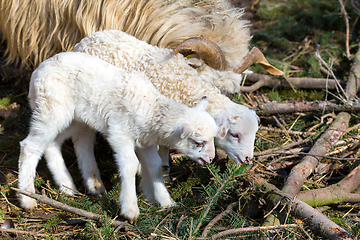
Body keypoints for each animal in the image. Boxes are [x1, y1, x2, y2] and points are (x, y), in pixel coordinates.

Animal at [18, 52, 218, 221]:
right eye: (198, 142)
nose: (211, 159)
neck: (151, 108)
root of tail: (38, 70)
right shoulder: (119, 133)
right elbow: (130, 165)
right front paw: (130, 209)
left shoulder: (145, 141)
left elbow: (155, 167)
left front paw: (165, 202)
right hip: (51, 106)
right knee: (30, 146)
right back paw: (27, 197)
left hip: (74, 118)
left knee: (54, 143)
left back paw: (69, 186)